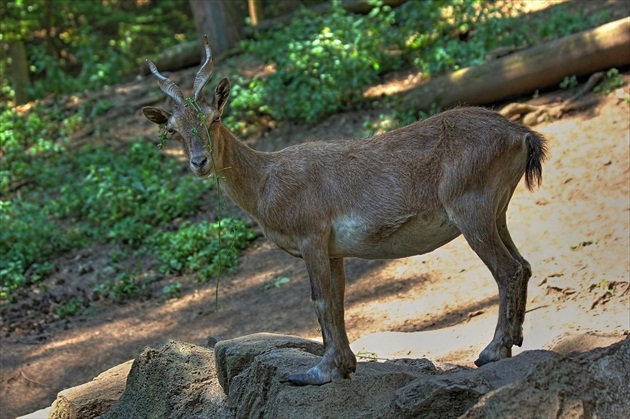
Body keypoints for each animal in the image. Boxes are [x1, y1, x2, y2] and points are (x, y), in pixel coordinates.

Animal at [143, 37, 548, 388]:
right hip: (496, 209)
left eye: (215, 118)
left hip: (470, 208)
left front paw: (317, 372)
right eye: (174, 130)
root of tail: (523, 135)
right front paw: (346, 365)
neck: (265, 183)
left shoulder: (311, 234)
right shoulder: (334, 249)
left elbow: (320, 300)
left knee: (507, 269)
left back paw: (492, 351)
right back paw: (514, 340)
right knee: (523, 263)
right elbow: (337, 301)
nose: (200, 162)